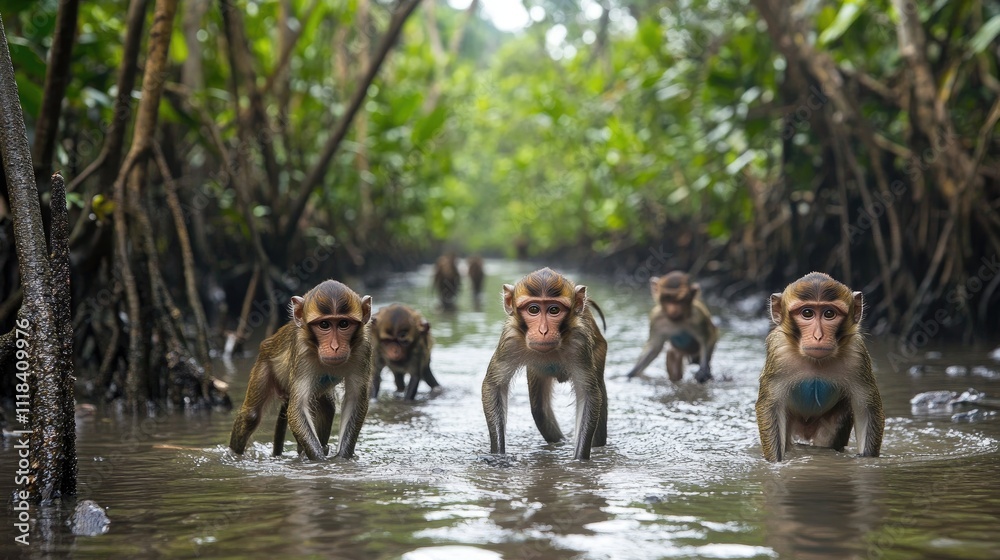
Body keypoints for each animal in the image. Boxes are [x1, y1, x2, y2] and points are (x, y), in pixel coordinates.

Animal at [229, 280, 374, 461]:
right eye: (324, 324)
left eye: (343, 324)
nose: (334, 347)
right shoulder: (301, 351)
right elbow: (298, 407)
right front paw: (319, 460)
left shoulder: (363, 350)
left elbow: (354, 400)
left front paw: (342, 459)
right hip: (264, 364)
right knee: (251, 416)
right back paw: (233, 455)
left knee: (327, 405)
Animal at [481, 267, 608, 460]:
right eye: (533, 309)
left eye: (554, 310)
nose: (543, 331)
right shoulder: (510, 339)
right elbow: (494, 385)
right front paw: (498, 455)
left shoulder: (579, 343)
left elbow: (589, 394)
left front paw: (579, 460)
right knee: (539, 409)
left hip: (600, 351)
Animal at [756, 272, 884, 462]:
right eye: (807, 313)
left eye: (829, 313)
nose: (818, 336)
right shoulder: (778, 352)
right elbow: (771, 408)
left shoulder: (857, 354)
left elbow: (866, 410)